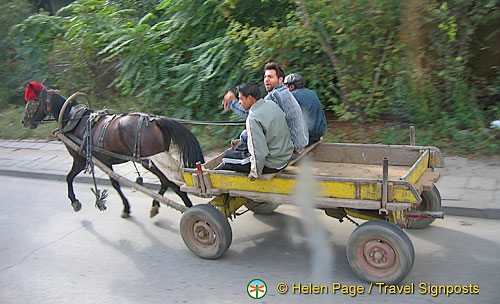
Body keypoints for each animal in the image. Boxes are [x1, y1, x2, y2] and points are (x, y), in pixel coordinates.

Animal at [21, 81, 205, 218]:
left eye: (31, 103)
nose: (24, 122)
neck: (73, 119)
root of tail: (156, 120)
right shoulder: (106, 161)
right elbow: (115, 184)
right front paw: (126, 208)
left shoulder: (79, 160)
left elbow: (69, 178)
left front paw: (75, 201)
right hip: (156, 159)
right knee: (167, 182)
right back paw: (158, 205)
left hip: (150, 161)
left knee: (171, 183)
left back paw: (188, 208)